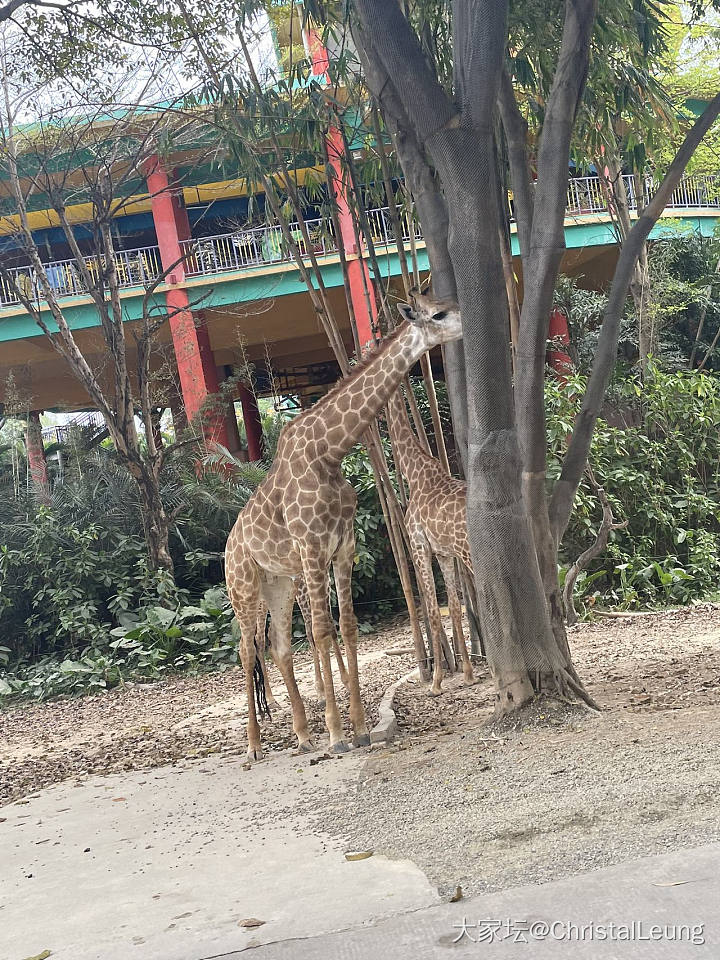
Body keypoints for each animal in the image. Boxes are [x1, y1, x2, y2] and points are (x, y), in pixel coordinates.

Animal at [386, 386, 476, 692]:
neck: (414, 474)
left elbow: (435, 611)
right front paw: (468, 673)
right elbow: (456, 607)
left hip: (470, 552)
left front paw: (436, 681)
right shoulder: (444, 552)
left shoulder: (419, 546)